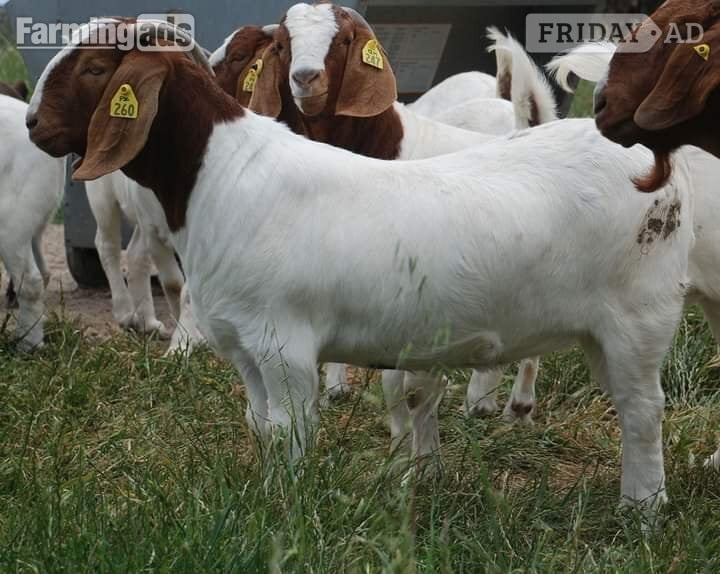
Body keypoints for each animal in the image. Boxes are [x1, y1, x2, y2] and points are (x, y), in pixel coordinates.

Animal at [27, 20, 695, 516]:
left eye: (94, 69)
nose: (32, 124)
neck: (223, 175)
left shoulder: (285, 346)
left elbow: (291, 432)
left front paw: (286, 508)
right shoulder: (246, 347)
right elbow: (259, 425)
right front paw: (267, 496)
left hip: (639, 318)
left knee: (642, 410)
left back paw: (642, 512)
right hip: (600, 332)